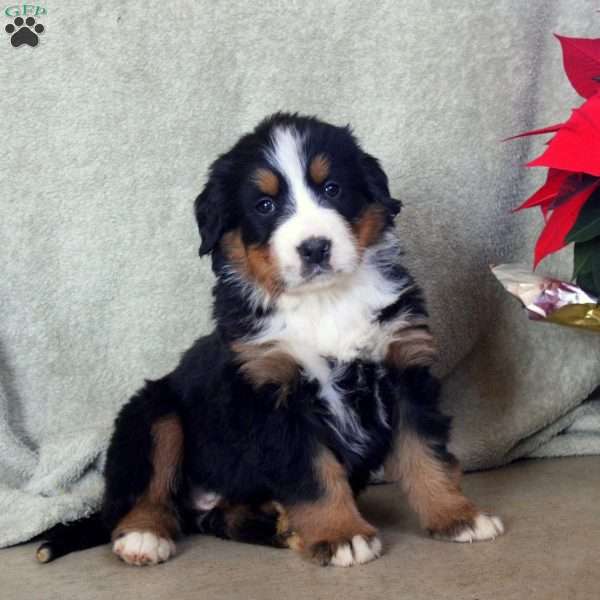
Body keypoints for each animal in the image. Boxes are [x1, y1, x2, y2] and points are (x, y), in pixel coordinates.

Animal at [37, 111, 504, 568]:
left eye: (332, 188)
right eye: (265, 205)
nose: (314, 247)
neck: (325, 302)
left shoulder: (405, 369)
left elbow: (427, 455)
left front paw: (457, 516)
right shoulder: (274, 392)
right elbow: (315, 475)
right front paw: (342, 535)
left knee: (220, 519)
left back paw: (280, 529)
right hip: (153, 411)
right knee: (143, 489)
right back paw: (144, 537)